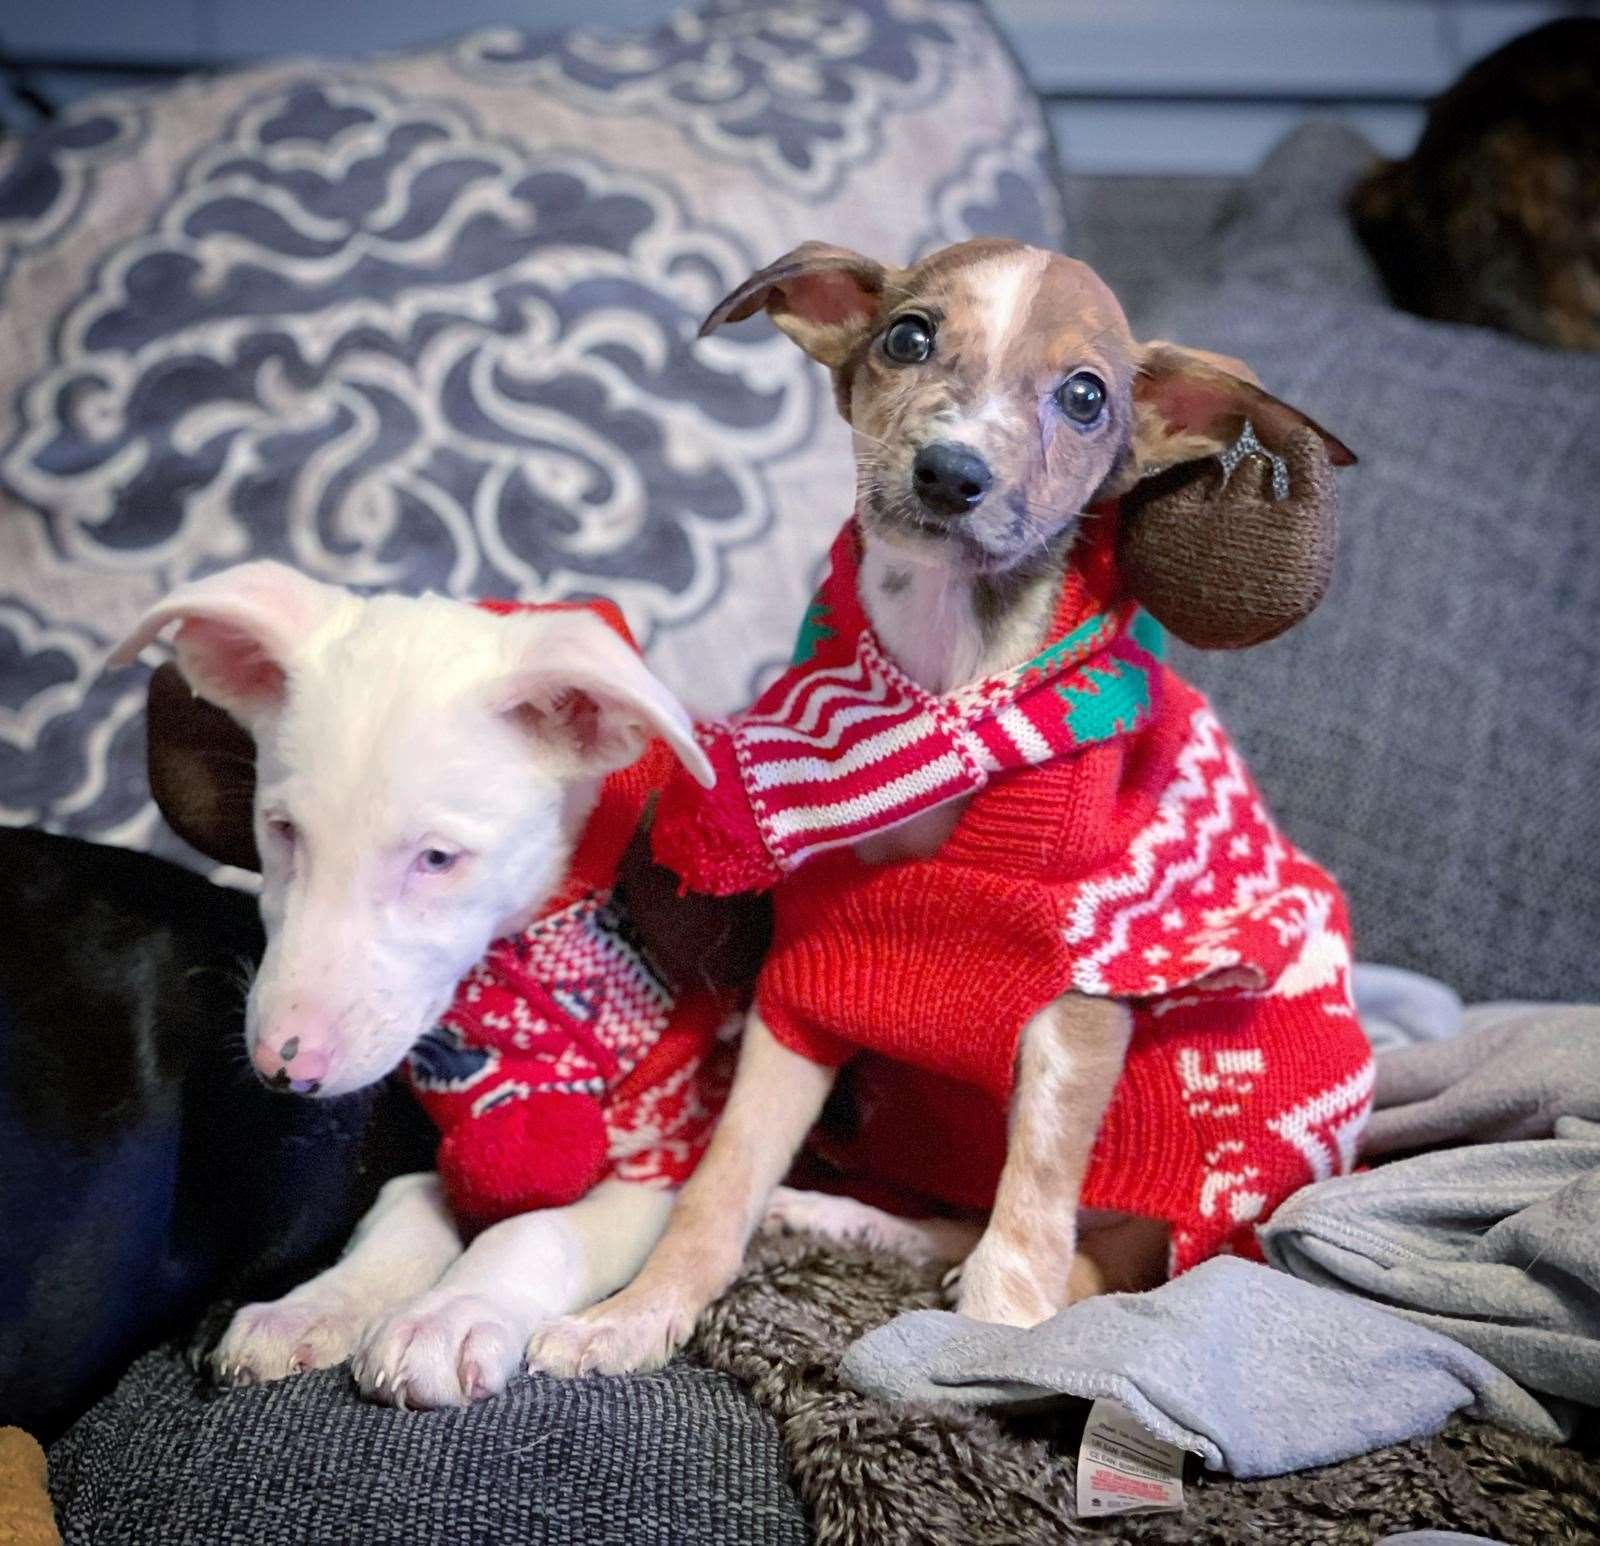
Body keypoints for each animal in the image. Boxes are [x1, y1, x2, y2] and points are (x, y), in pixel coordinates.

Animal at [109, 563, 710, 1408]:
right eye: (283, 830)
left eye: (437, 858)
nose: (282, 1068)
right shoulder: (421, 1134)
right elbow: (403, 1215)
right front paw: (316, 1306)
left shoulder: (663, 1156)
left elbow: (537, 1228)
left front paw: (451, 1315)